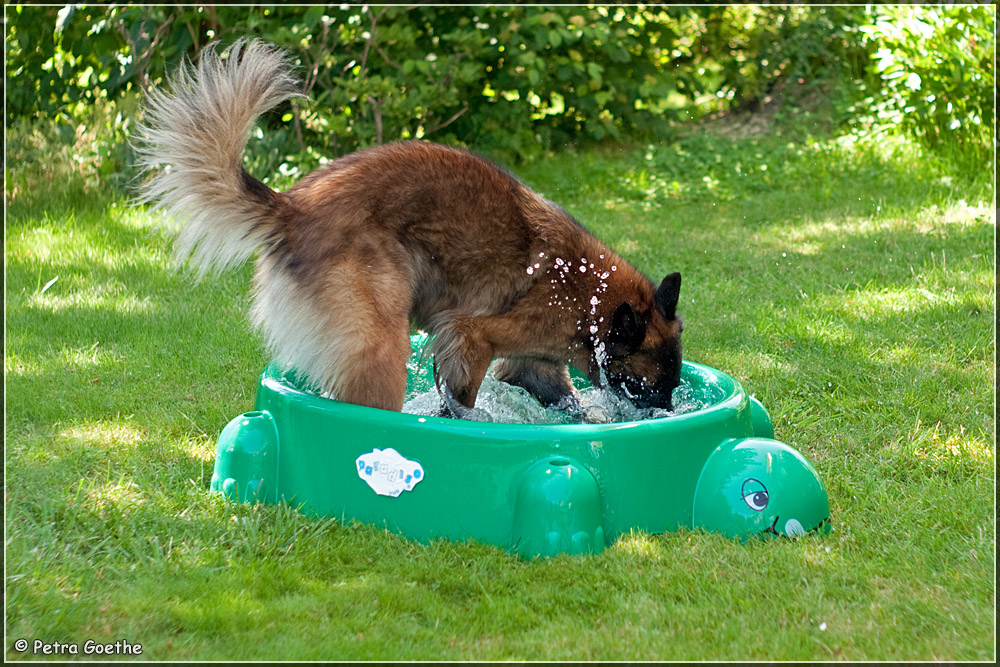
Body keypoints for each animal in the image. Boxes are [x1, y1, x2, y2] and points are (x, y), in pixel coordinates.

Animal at [137, 39, 684, 414]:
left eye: (673, 386)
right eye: (649, 386)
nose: (667, 414)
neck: (591, 296)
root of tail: (294, 207)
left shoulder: (534, 363)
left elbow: (562, 398)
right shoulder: (471, 335)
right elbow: (462, 396)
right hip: (380, 341)